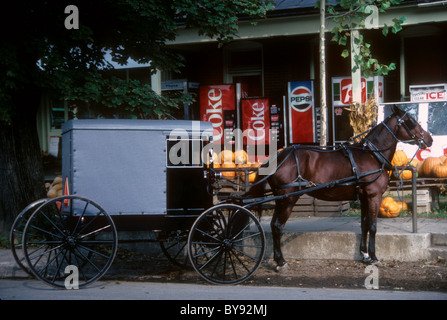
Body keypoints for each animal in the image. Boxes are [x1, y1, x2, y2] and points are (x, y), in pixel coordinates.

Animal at [248, 106, 434, 272]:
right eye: (411, 121)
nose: (429, 139)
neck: (372, 154)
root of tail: (276, 157)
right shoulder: (374, 196)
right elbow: (373, 226)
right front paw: (374, 257)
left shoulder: (365, 197)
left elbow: (364, 225)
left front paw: (365, 254)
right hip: (288, 199)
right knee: (278, 226)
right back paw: (281, 262)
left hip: (281, 200)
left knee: (273, 225)